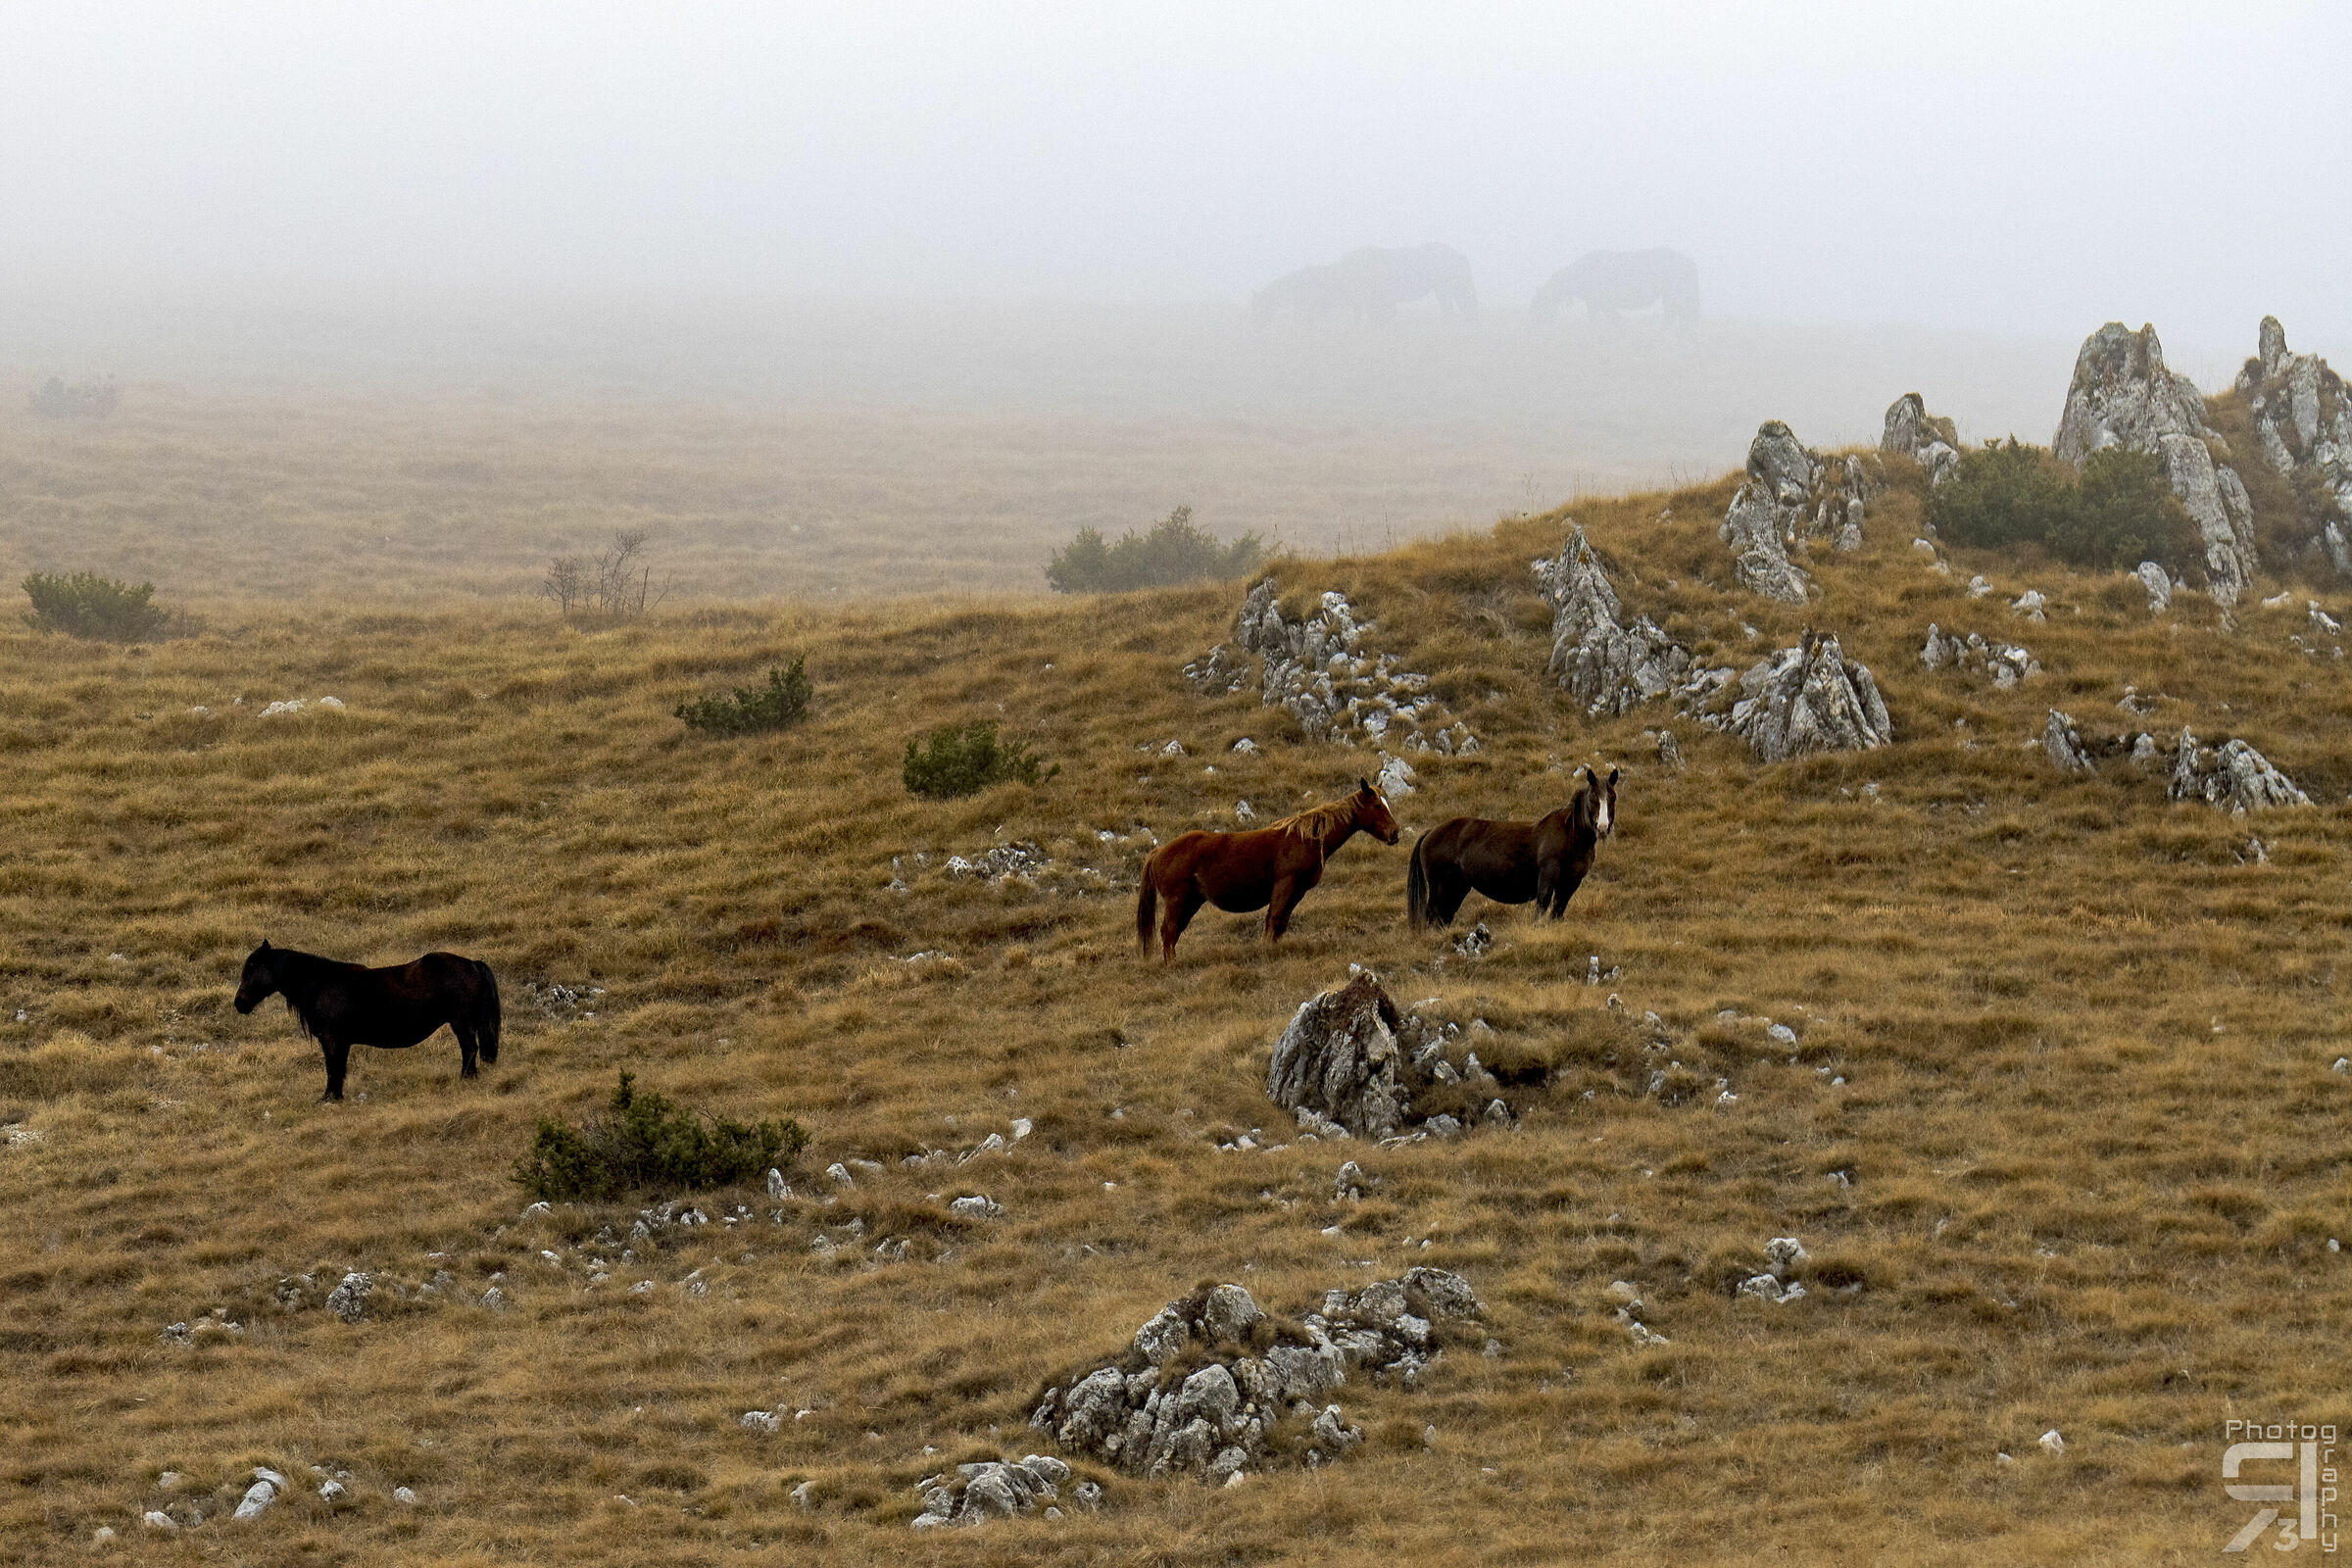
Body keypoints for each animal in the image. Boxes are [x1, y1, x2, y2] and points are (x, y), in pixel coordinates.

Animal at [233, 939, 502, 1101]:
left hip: (461, 1024)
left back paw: (465, 1078)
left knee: (470, 1049)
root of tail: (473, 964)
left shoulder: (333, 1041)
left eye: (253, 969)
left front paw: (330, 1098)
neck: (320, 985)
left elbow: (334, 1069)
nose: (239, 1003)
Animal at [1136, 779, 1402, 962]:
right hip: (1177, 900)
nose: (1395, 833)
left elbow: (1281, 923)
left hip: (1191, 901)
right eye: (1377, 805)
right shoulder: (1284, 884)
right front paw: (1265, 951)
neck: (1307, 838)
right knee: (1168, 931)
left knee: (1173, 932)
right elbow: (1273, 919)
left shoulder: (1298, 891)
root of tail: (1158, 851)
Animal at [1253, 244, 1478, 325]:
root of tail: (1461, 256)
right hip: (1445, 290)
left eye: (1260, 305)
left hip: (1450, 289)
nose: (1257, 325)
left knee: (1458, 307)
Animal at [1406, 766, 1619, 931]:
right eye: (1592, 797)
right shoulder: (1548, 876)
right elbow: (1542, 907)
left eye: (1612, 798)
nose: (1602, 827)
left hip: (1457, 886)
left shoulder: (1571, 883)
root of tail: (1431, 831)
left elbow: (1557, 911)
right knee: (1433, 914)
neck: (1570, 834)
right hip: (1441, 887)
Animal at [1529, 249, 1700, 326]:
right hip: (1669, 297)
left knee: (1682, 315)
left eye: (1539, 303)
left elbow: (1602, 319)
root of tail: (1689, 261)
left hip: (1676, 296)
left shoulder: (1598, 303)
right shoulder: (1599, 304)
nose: (1536, 324)